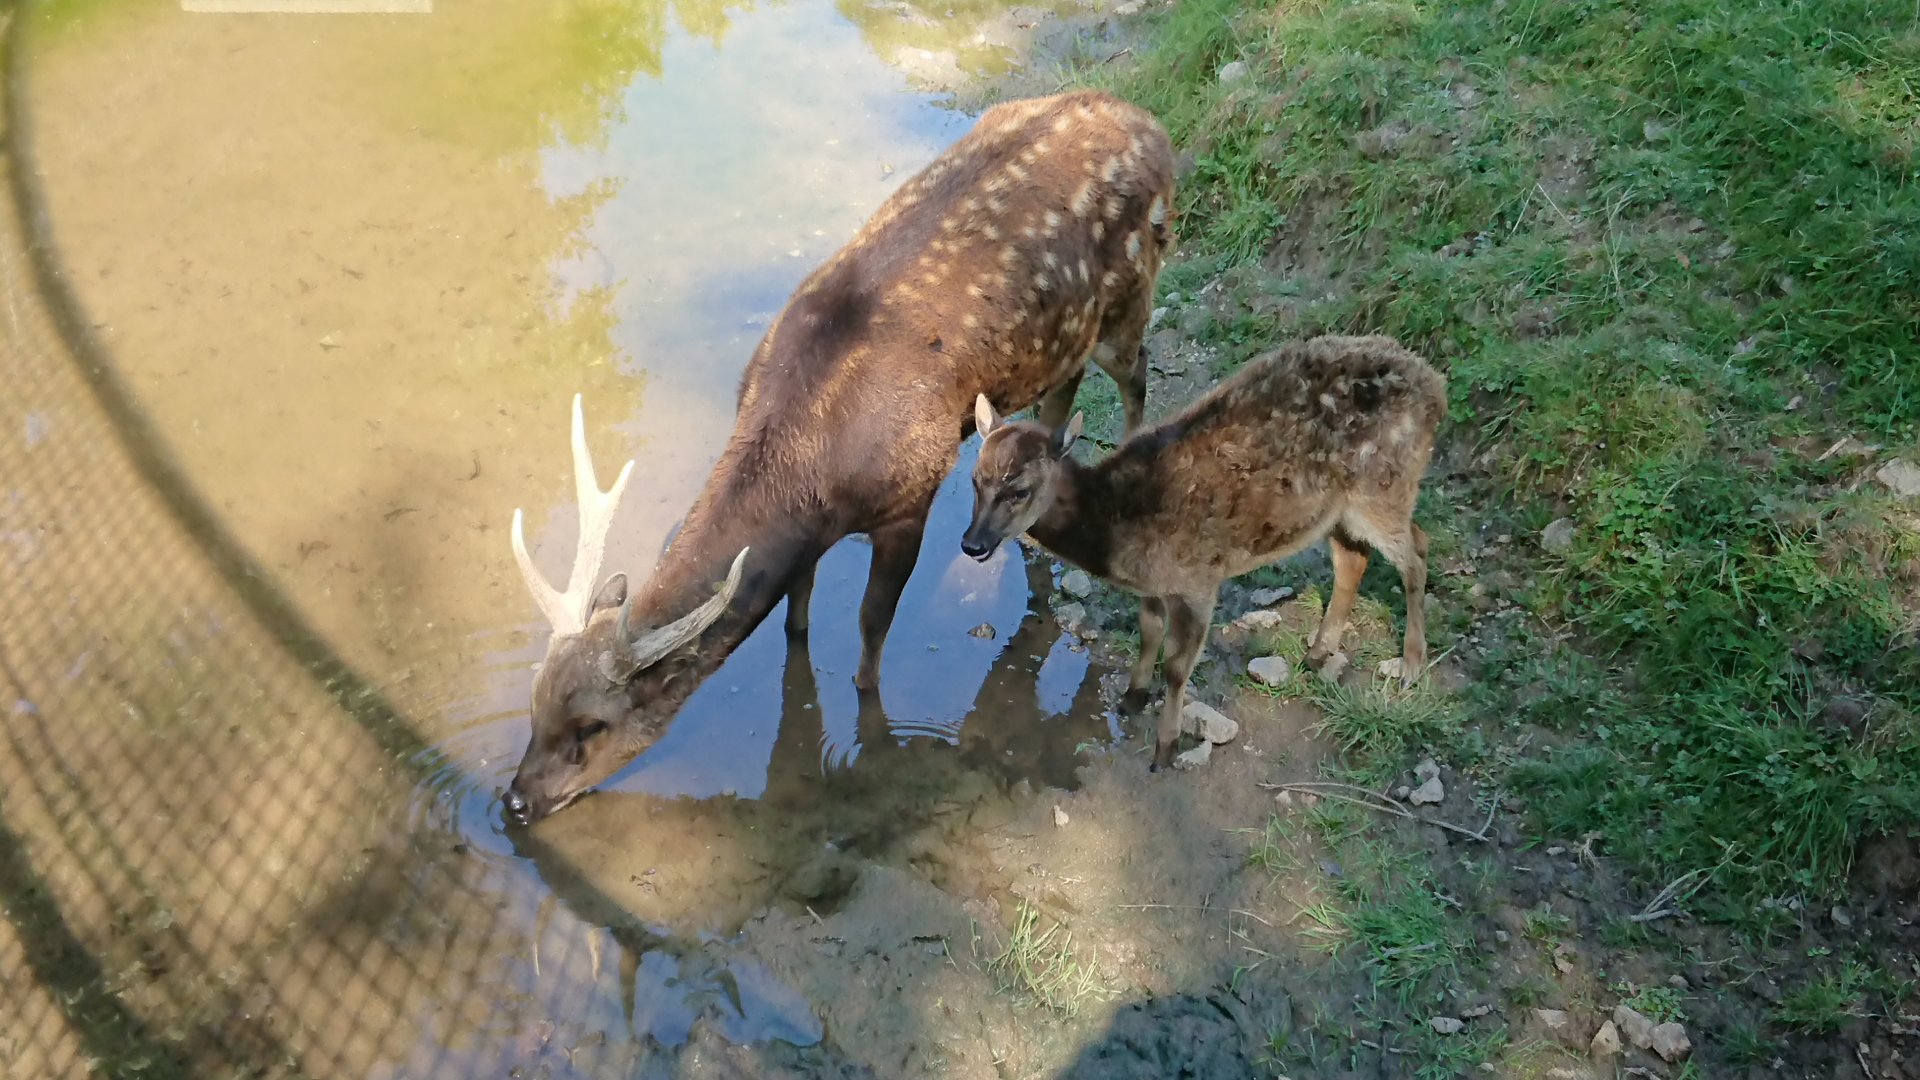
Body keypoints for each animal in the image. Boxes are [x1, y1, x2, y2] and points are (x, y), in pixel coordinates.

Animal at [500, 90, 1176, 824]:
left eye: (592, 726)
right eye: (533, 701)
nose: (514, 801)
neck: (816, 461)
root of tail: (1153, 127)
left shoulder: (913, 493)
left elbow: (869, 631)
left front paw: (868, 715)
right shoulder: (812, 531)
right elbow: (795, 613)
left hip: (1132, 290)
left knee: (1138, 373)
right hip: (1068, 337)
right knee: (1063, 400)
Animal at [961, 334, 1447, 771]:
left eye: (1020, 490)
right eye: (974, 478)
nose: (972, 543)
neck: (1118, 525)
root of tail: (1437, 389)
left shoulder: (1198, 576)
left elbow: (1178, 667)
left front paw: (1165, 749)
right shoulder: (1155, 583)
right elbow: (1149, 632)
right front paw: (1131, 698)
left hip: (1384, 485)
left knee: (1416, 552)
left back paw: (1411, 664)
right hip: (1339, 510)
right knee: (1354, 559)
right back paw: (1317, 654)